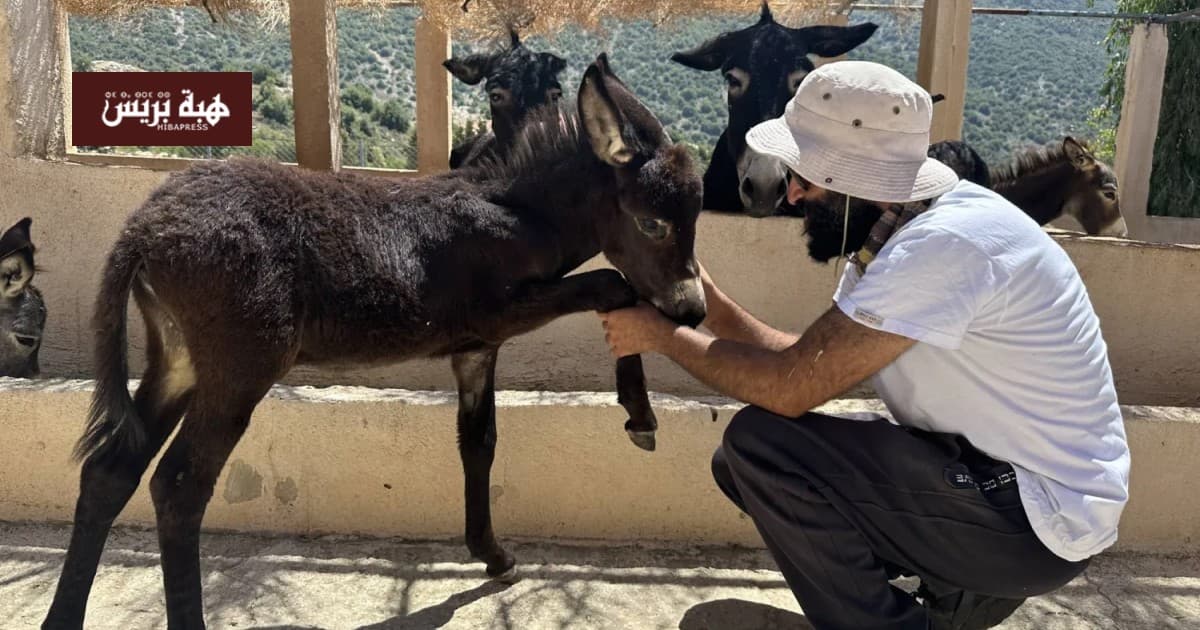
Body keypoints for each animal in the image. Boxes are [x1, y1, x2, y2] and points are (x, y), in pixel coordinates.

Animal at [42, 53, 705, 630]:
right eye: (653, 223)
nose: (695, 310)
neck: (517, 215)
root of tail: (143, 227)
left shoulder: (475, 348)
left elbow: (479, 444)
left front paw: (492, 555)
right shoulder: (501, 312)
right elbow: (615, 285)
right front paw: (640, 416)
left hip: (180, 361)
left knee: (109, 472)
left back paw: (62, 617)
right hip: (239, 366)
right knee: (179, 487)